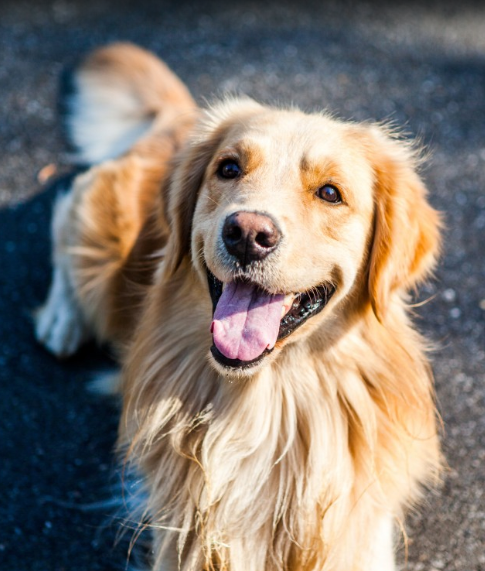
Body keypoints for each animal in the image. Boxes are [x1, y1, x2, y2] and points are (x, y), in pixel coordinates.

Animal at [36, 42, 440, 568]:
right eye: (228, 168)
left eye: (330, 193)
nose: (247, 233)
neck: (268, 402)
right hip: (100, 248)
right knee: (65, 213)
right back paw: (60, 317)